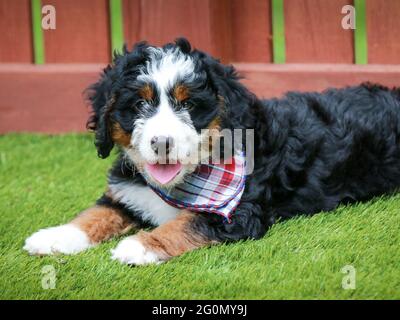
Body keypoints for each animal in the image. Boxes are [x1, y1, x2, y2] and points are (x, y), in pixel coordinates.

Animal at [23, 38, 400, 264]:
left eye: (188, 105)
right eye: (139, 104)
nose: (162, 142)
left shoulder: (237, 212)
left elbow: (186, 223)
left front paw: (141, 245)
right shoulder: (127, 192)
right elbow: (96, 213)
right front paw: (54, 237)